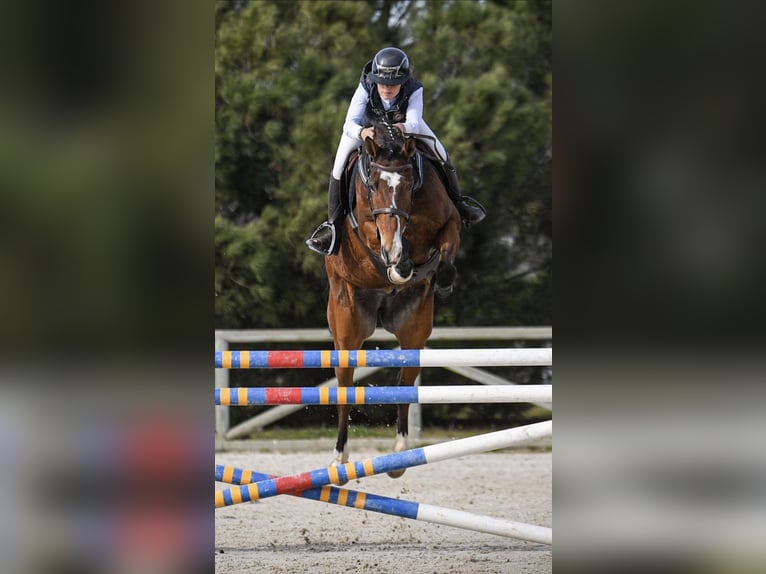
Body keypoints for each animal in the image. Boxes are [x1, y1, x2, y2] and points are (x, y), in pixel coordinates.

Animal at [324, 119, 462, 480]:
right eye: (372, 185)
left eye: (411, 183)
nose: (394, 249)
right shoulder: (367, 233)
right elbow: (381, 243)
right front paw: (398, 260)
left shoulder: (450, 221)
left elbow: (446, 250)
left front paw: (437, 277)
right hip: (347, 330)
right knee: (344, 387)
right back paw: (339, 456)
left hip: (414, 330)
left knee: (405, 384)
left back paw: (400, 453)